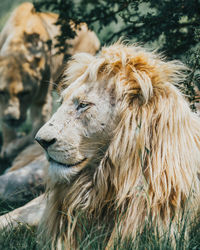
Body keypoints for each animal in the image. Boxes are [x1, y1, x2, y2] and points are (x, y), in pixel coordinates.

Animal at [0, 2, 100, 166]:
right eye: (2, 92)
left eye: (24, 93)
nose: (13, 118)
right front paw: (8, 145)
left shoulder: (41, 100)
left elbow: (35, 130)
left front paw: (14, 148)